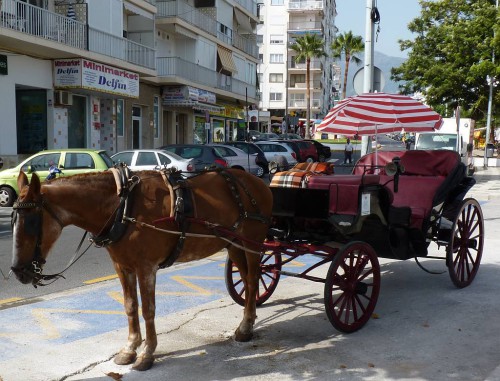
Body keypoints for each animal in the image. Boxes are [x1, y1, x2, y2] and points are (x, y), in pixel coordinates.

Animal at [8, 168, 274, 370]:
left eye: (32, 222)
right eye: (13, 221)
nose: (19, 271)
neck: (122, 207)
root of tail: (255, 180)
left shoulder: (146, 267)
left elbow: (148, 309)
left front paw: (147, 353)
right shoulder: (122, 266)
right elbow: (130, 305)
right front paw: (130, 348)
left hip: (252, 243)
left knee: (253, 280)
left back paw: (246, 326)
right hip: (233, 245)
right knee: (247, 279)